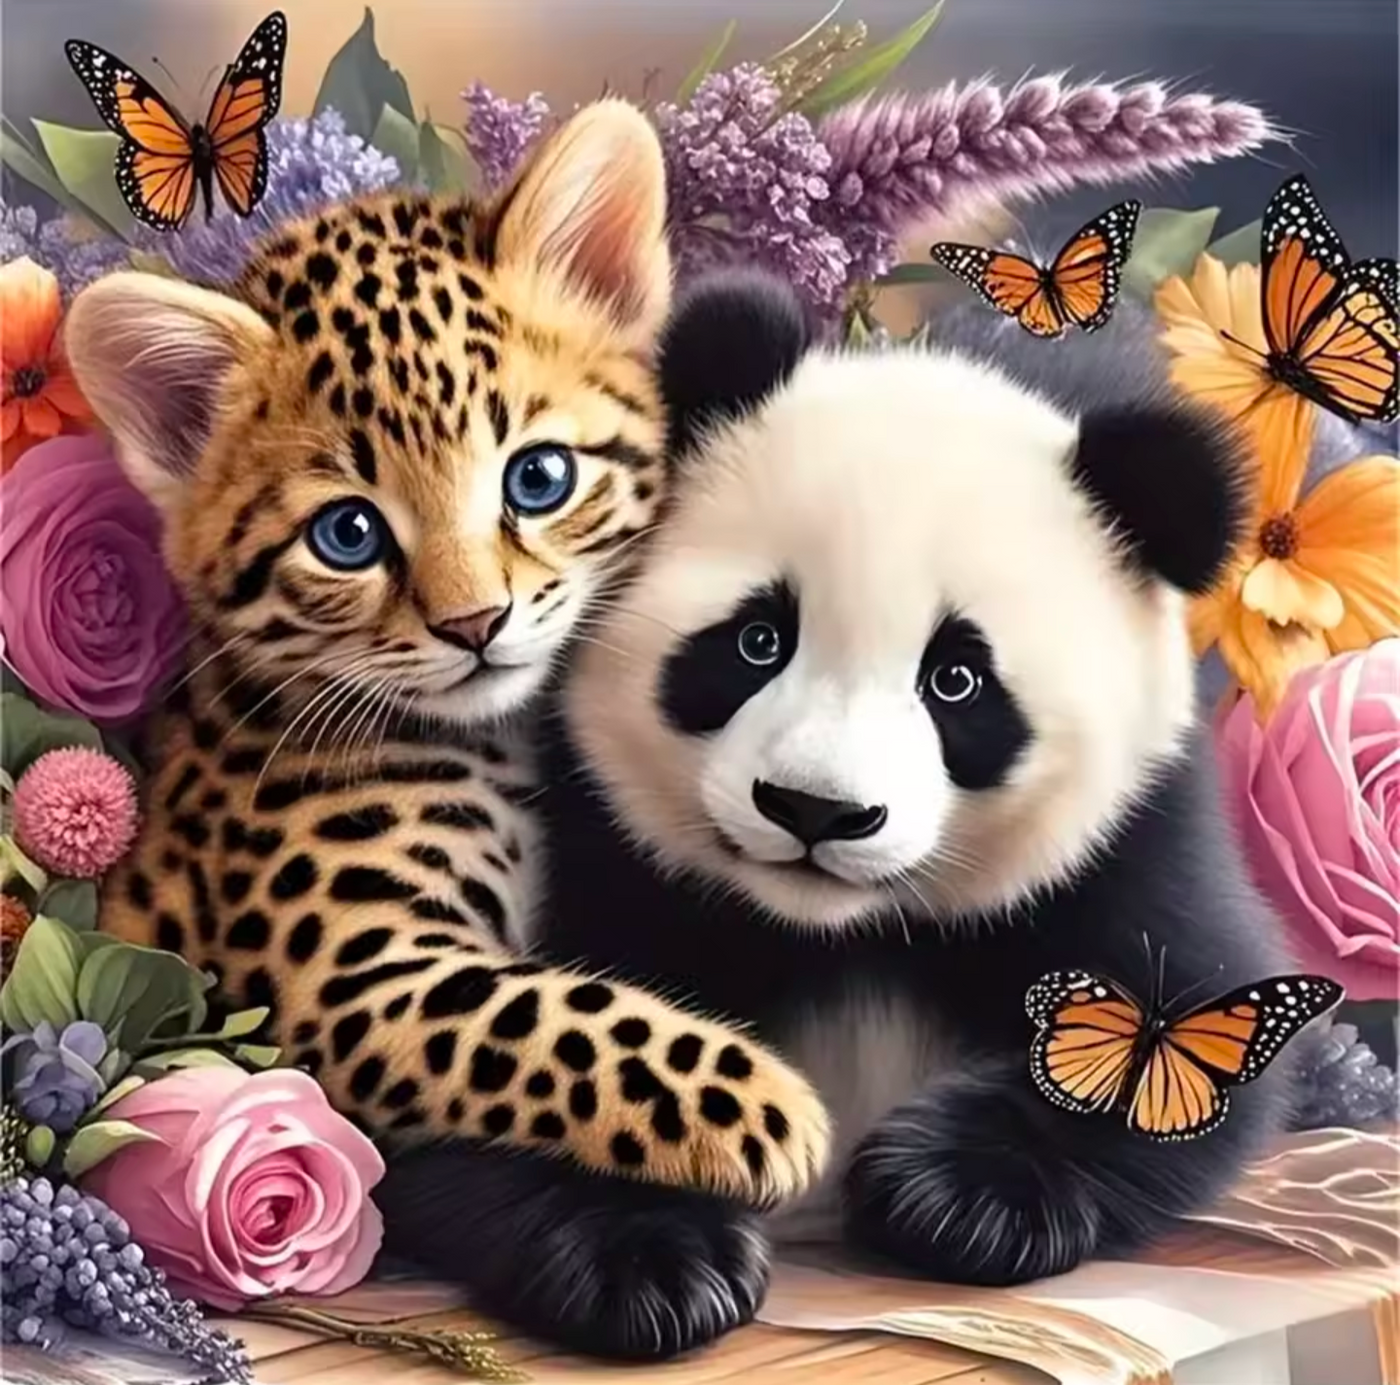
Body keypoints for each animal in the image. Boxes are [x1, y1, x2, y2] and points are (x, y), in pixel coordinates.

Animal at [64, 100, 829, 1208]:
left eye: (538, 478)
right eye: (347, 534)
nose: (475, 624)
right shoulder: (351, 979)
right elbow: (562, 1022)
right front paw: (765, 1106)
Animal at [376, 272, 1296, 1361]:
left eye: (955, 680)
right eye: (756, 640)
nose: (815, 808)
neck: (837, 932)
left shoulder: (1133, 836)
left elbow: (1182, 1027)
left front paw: (948, 1194)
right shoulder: (580, 835)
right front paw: (652, 1262)